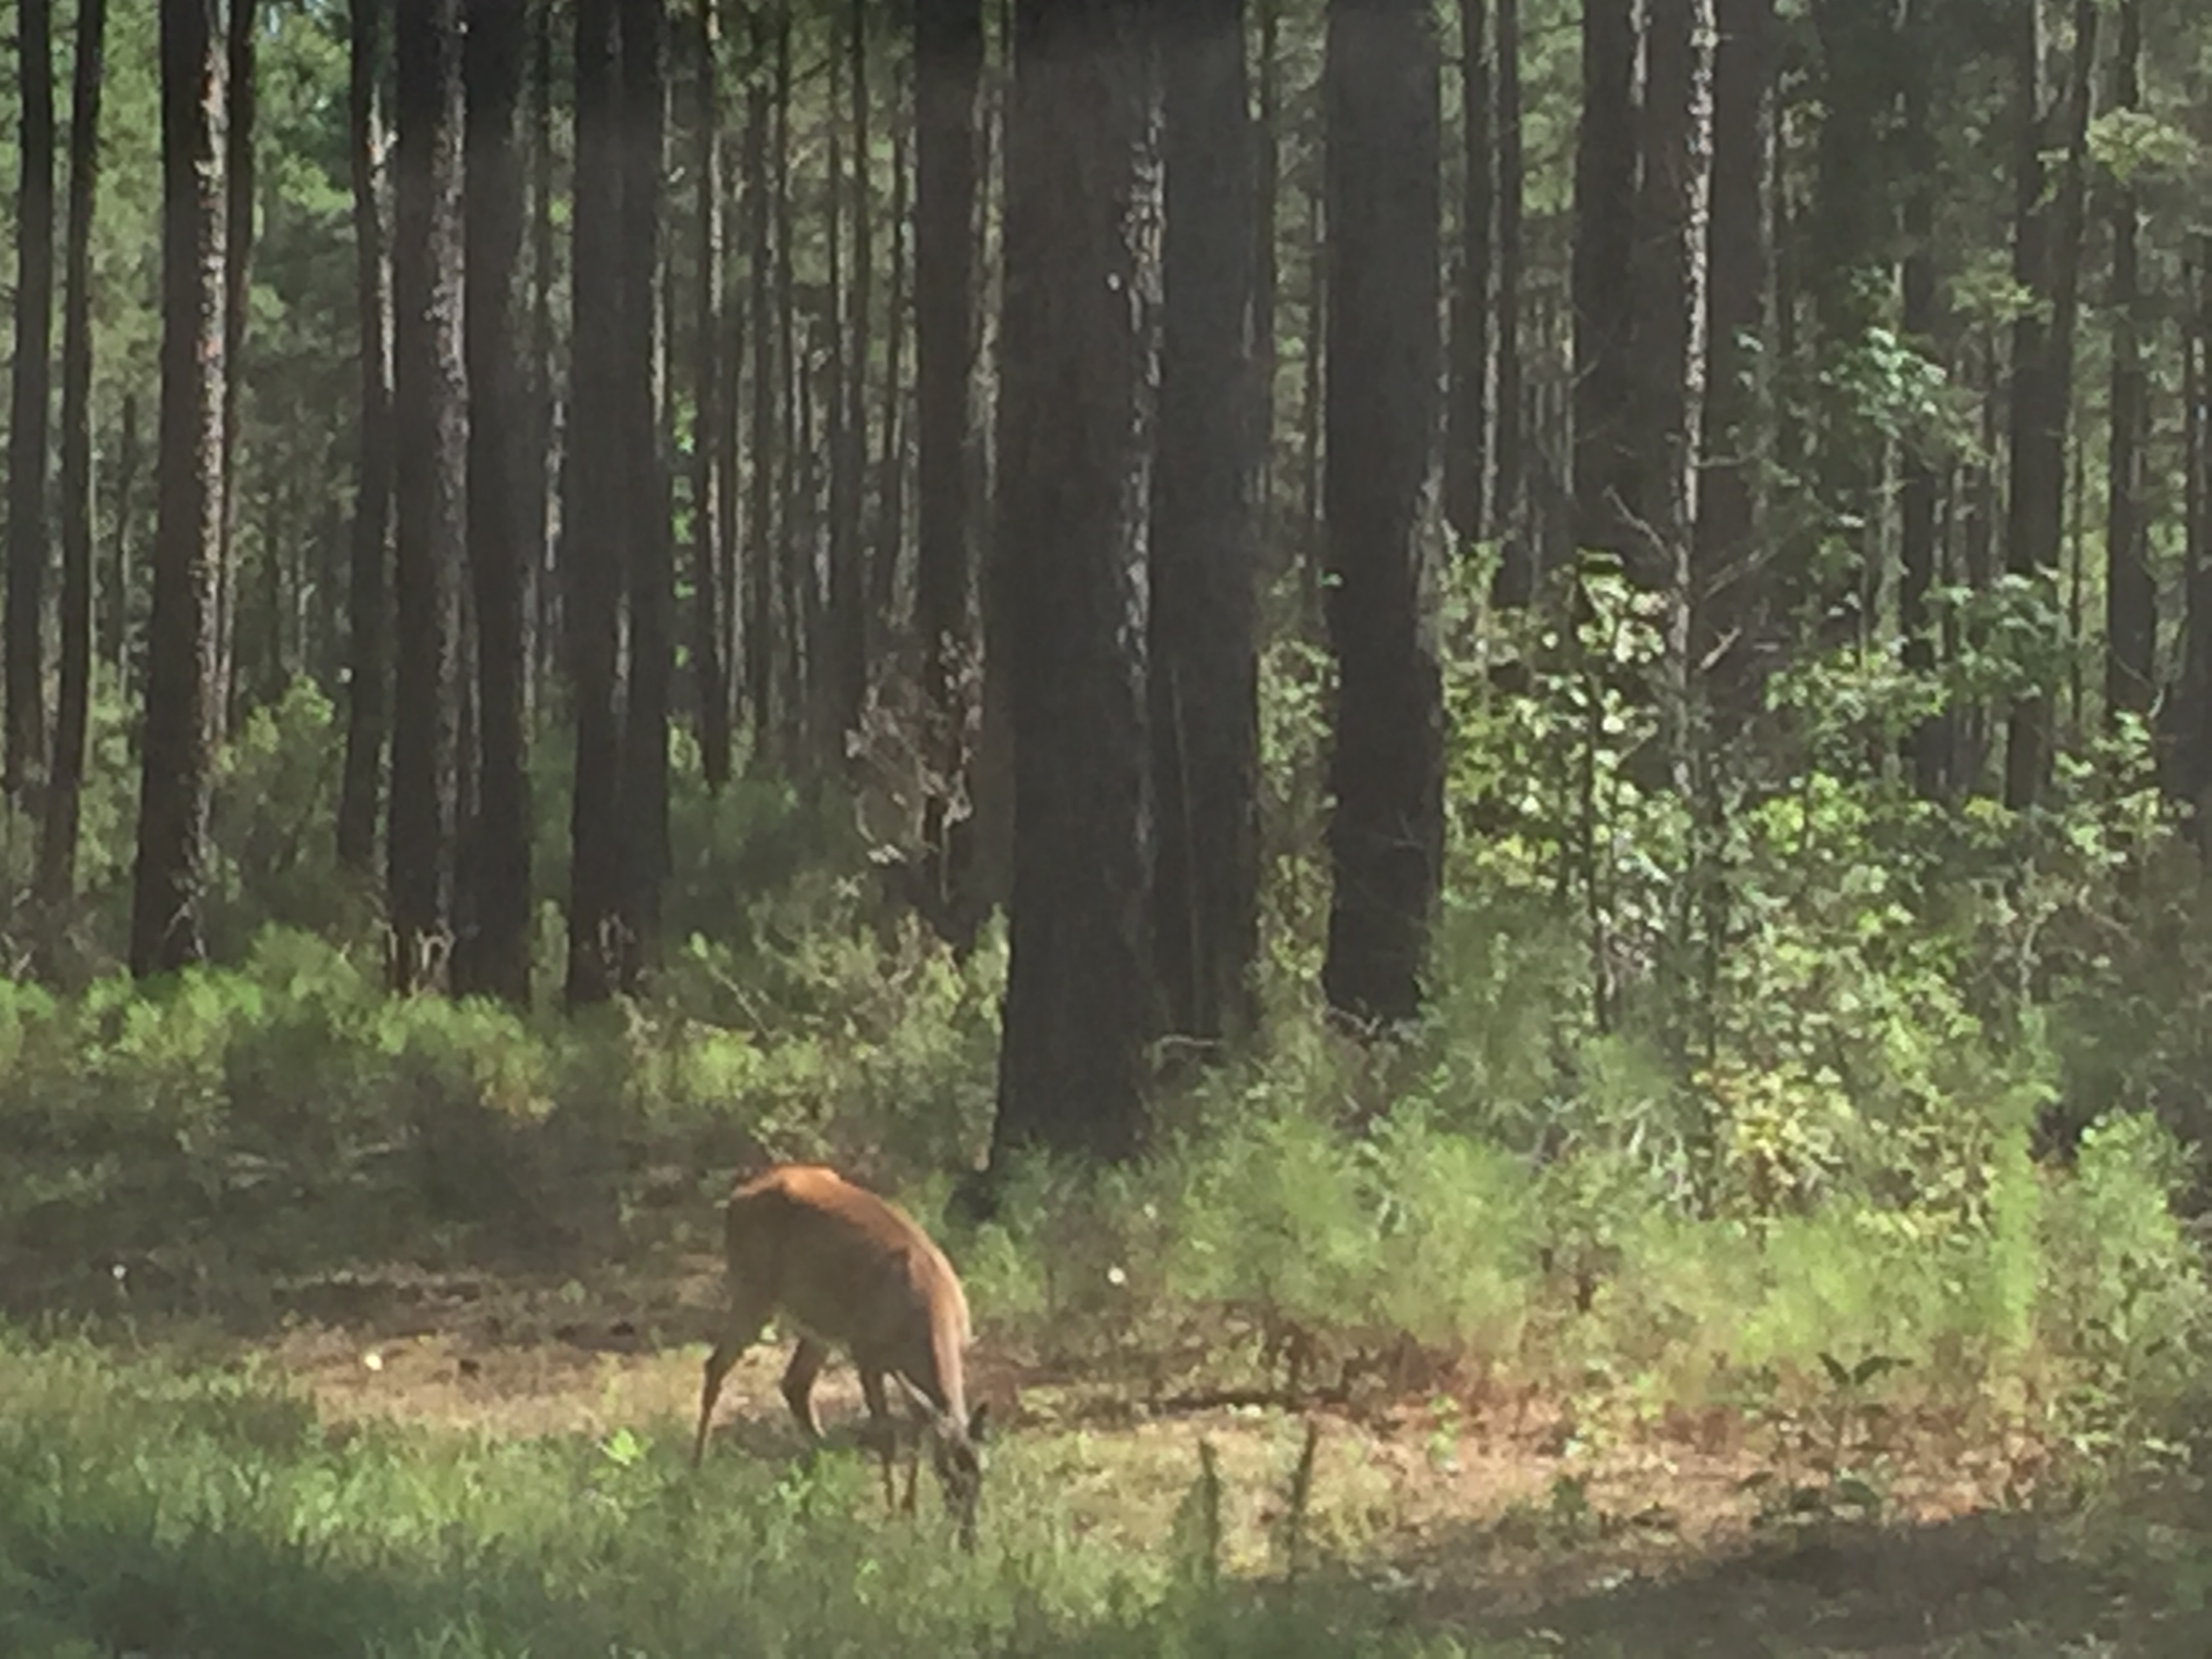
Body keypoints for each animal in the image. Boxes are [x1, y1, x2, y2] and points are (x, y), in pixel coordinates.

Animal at [694, 1168, 991, 1548]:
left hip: (816, 1325)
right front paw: (892, 1514)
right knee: (716, 1365)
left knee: (795, 1384)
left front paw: (909, 1509)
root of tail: (737, 1195)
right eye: (946, 1474)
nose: (969, 1540)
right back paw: (697, 1468)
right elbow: (887, 1437)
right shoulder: (867, 1355)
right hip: (753, 1288)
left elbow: (917, 1426)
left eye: (982, 1473)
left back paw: (817, 1478)